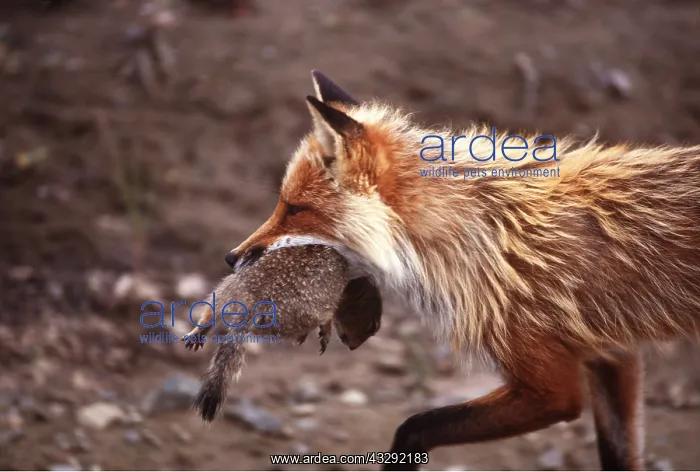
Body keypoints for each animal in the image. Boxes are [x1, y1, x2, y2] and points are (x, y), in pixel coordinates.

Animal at [186, 244, 382, 421]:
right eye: (370, 326)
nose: (353, 347)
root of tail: (256, 303)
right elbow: (330, 317)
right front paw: (325, 333)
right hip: (301, 312)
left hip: (228, 286)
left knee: (213, 307)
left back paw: (197, 334)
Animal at [220, 70, 700, 470]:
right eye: (283, 204)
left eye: (295, 209)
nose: (231, 257)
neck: (485, 231)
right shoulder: (614, 351)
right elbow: (619, 456)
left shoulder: (551, 389)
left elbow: (415, 426)